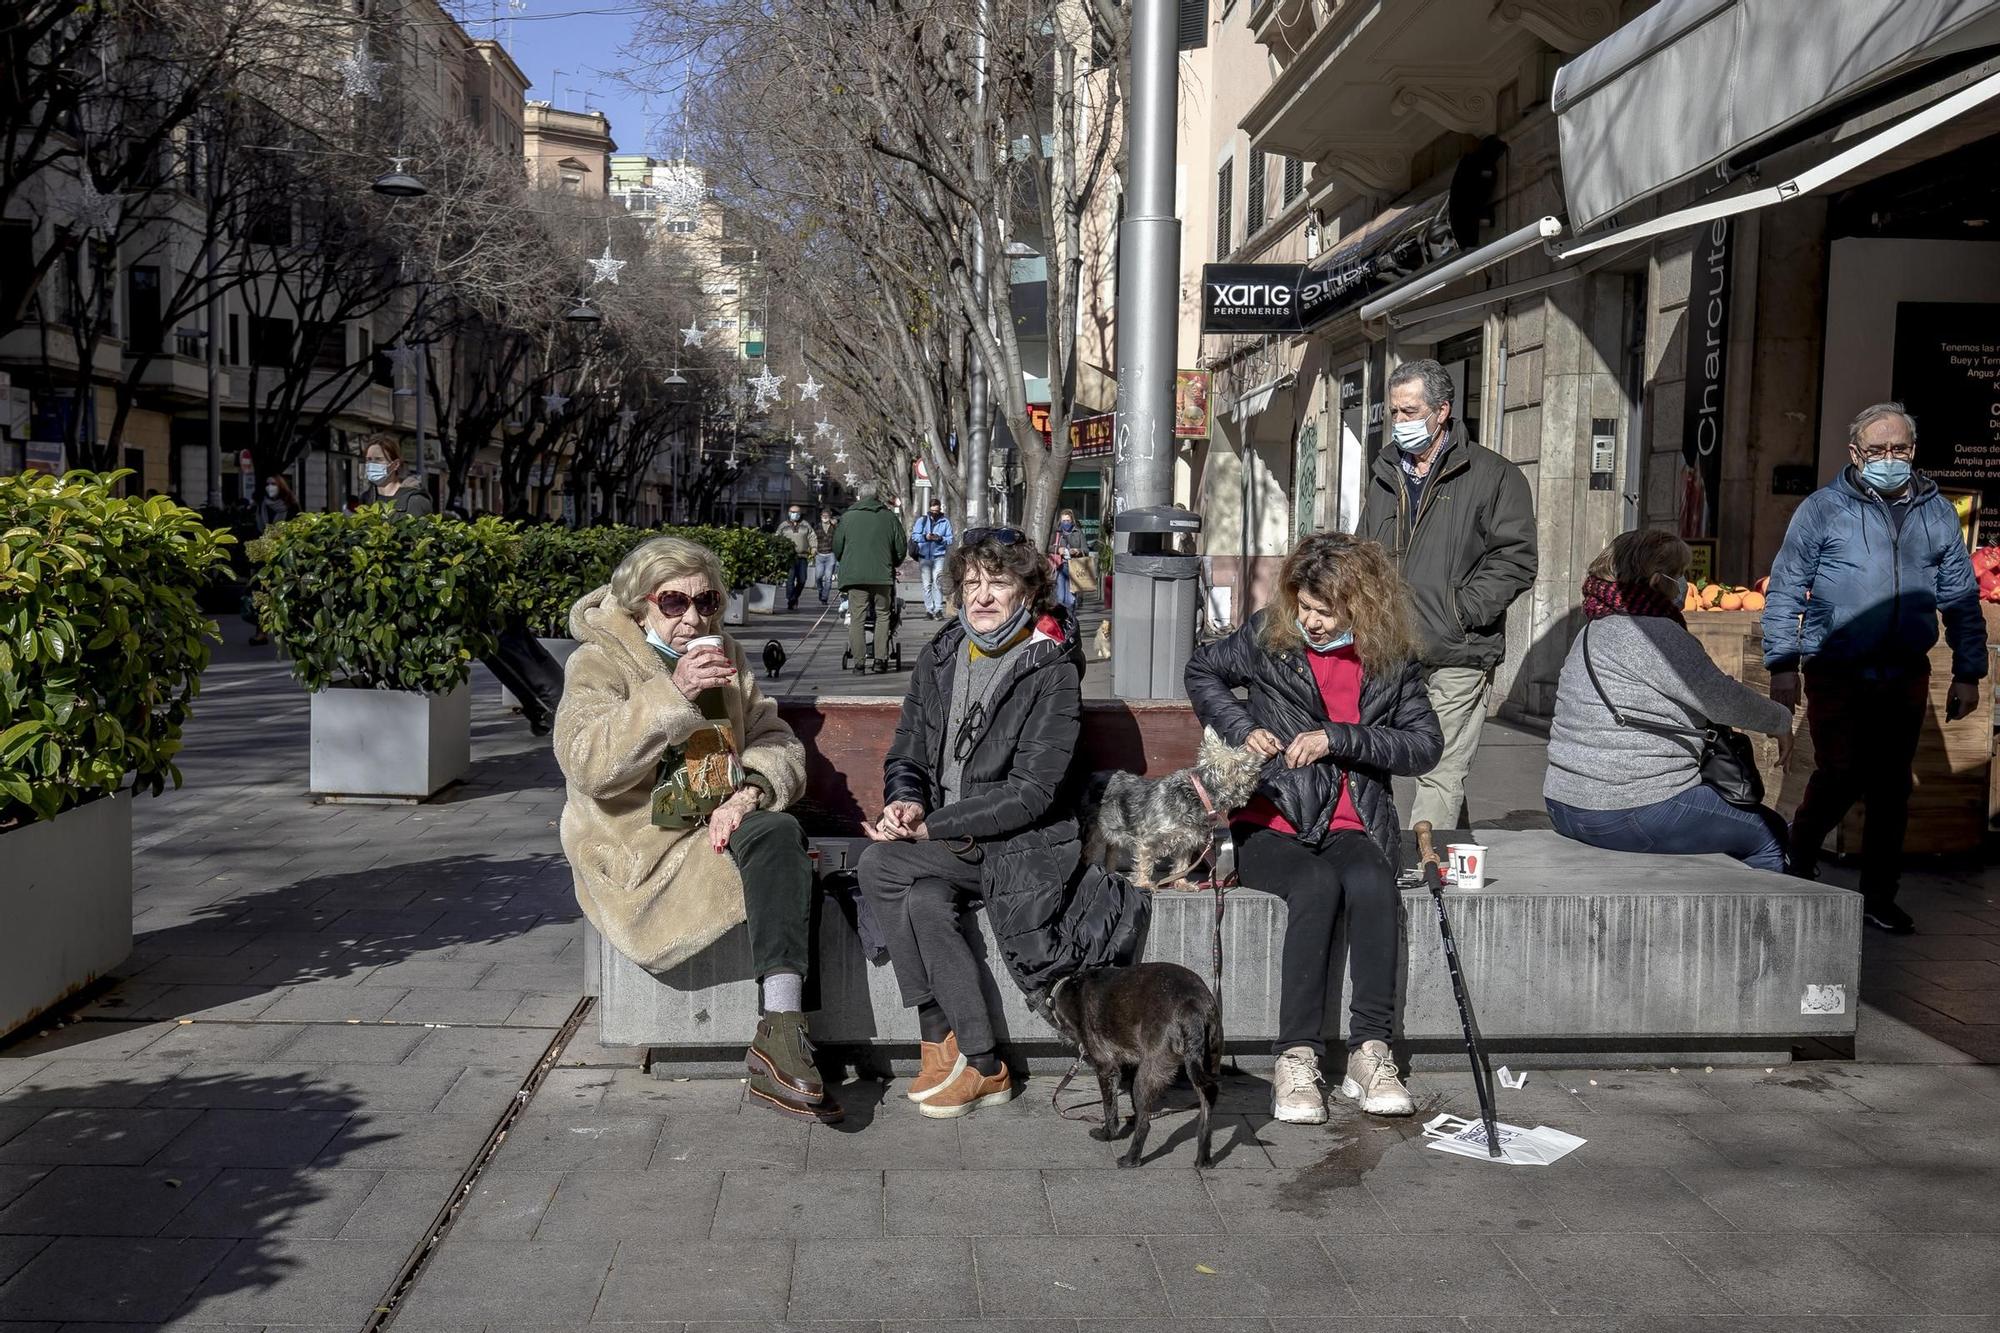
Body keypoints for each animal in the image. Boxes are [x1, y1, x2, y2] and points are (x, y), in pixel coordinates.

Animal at [1048, 956, 1216, 1160]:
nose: (1059, 1037)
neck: (1072, 990)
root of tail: (1191, 1005)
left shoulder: (1106, 1069)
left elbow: (1109, 1107)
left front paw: (1108, 1133)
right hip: (1202, 1070)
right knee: (1206, 1113)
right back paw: (1203, 1160)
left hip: (1145, 1078)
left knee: (1144, 1124)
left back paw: (1131, 1159)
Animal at [1080, 728, 1264, 880]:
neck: (1198, 793)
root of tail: (1093, 775)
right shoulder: (1148, 840)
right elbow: (1145, 865)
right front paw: (1144, 885)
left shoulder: (1187, 840)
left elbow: (1182, 865)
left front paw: (1181, 884)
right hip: (1095, 828)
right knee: (1090, 849)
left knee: (1111, 849)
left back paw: (1111, 872)